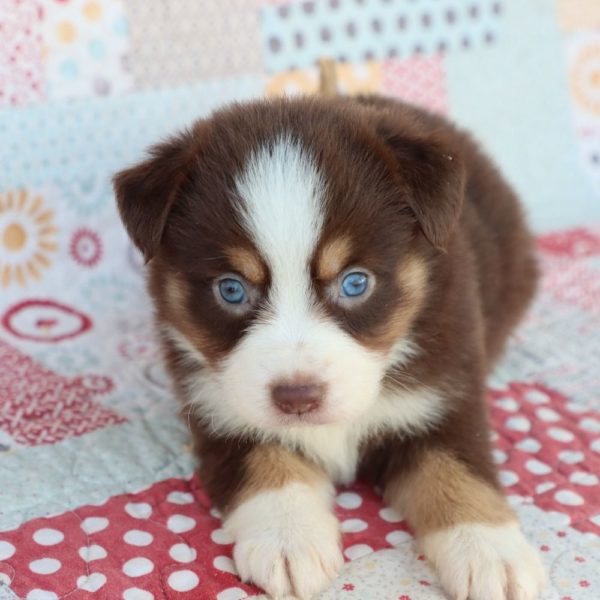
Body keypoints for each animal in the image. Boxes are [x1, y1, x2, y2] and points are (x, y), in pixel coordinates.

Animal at [115, 90, 548, 600]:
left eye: (355, 282)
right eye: (231, 289)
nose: (297, 398)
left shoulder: (444, 392)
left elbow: (458, 469)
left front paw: (489, 551)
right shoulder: (217, 409)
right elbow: (267, 462)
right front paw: (287, 538)